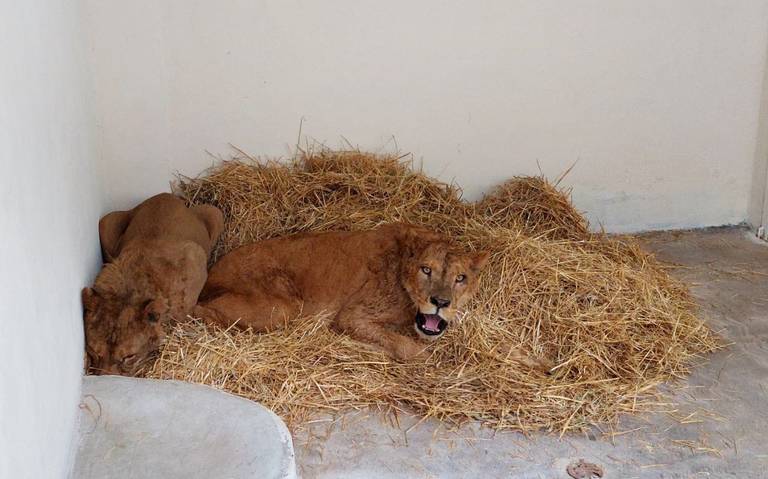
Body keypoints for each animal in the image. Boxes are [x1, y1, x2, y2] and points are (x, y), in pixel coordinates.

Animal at [83, 194, 224, 376]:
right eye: (93, 351)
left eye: (129, 357)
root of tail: (166, 195)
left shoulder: (195, 256)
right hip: (105, 223)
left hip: (215, 213)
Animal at [195, 222, 488, 360]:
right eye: (426, 270)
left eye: (460, 278)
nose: (440, 301)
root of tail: (211, 273)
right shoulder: (351, 316)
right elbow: (405, 345)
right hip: (283, 308)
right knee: (200, 312)